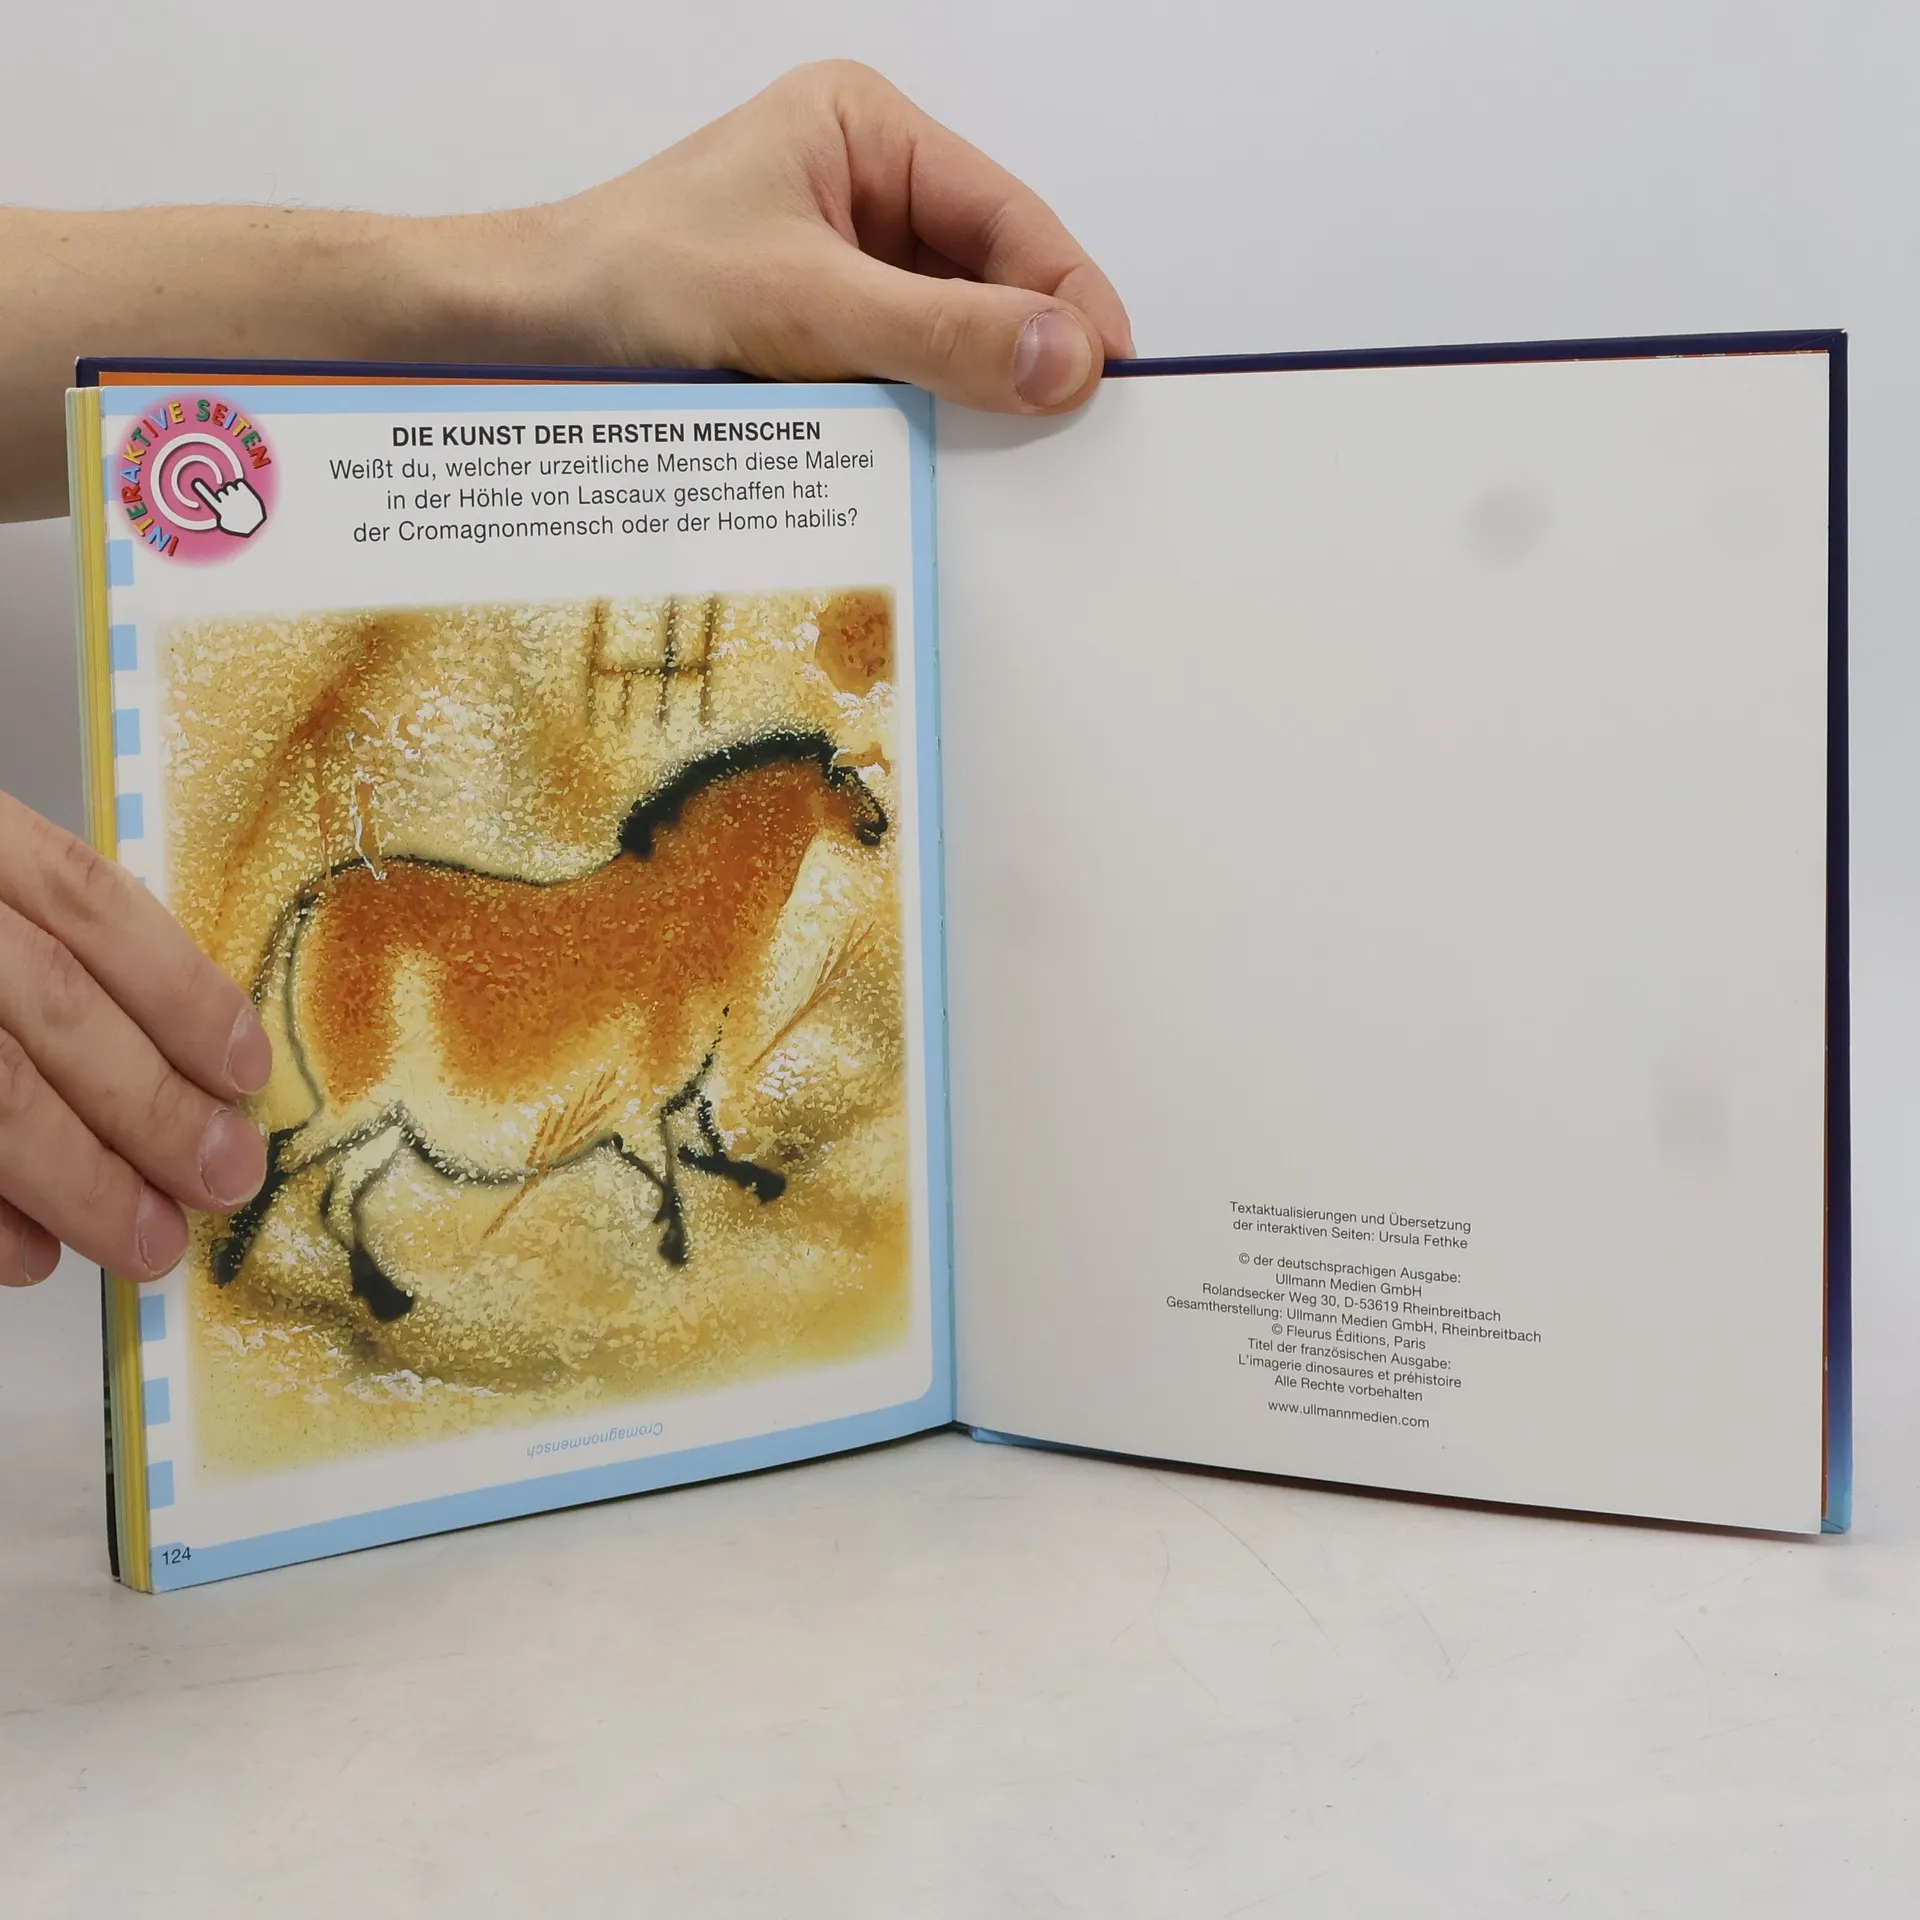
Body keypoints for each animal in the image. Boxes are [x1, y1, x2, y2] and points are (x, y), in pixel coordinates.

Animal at [210, 728, 889, 1323]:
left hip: (383, 1120)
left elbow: (705, 1136)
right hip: (358, 1098)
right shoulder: (640, 1093)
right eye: (846, 777)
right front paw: (675, 1246)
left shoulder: (678, 1079)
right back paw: (230, 1265)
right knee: (282, 1153)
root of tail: (316, 899)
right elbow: (669, 1162)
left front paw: (751, 1181)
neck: (691, 911)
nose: (881, 824)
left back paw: (386, 1298)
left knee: (335, 1196)